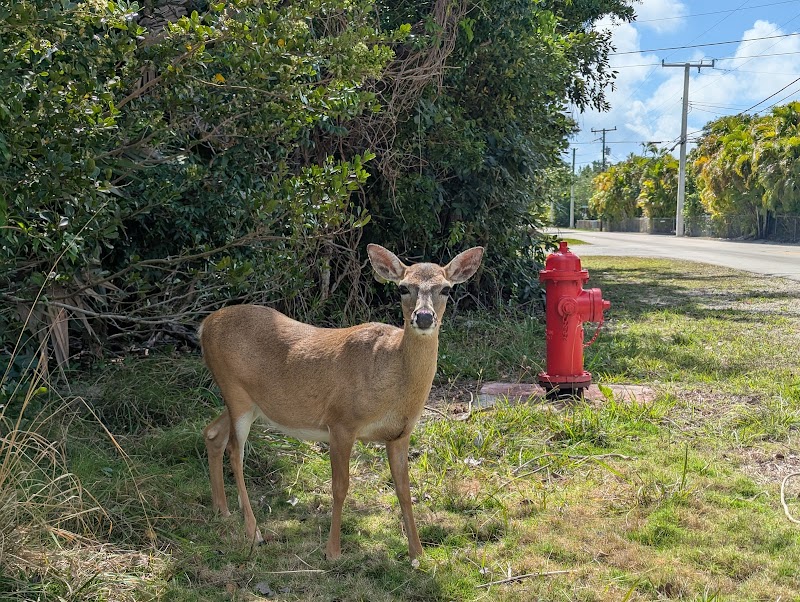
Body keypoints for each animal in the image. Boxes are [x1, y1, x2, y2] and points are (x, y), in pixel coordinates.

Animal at [199, 243, 484, 560]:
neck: (392, 378)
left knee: (212, 433)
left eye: (446, 289)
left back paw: (222, 510)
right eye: (402, 288)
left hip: (248, 402)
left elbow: (404, 489)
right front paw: (332, 551)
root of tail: (204, 326)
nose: (423, 317)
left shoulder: (400, 433)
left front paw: (417, 553)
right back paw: (254, 533)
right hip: (235, 391)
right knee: (235, 453)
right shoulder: (341, 422)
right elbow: (340, 487)